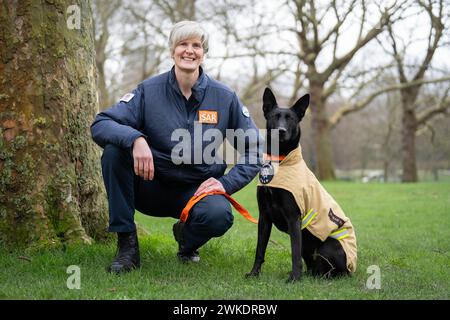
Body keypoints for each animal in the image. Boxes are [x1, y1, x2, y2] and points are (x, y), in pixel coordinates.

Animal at [246, 87, 356, 282]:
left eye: (290, 118)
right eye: (274, 116)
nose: (281, 131)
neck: (280, 162)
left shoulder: (294, 218)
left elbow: (294, 252)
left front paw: (294, 278)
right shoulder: (264, 217)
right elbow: (260, 250)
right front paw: (254, 273)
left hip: (328, 245)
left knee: (334, 271)